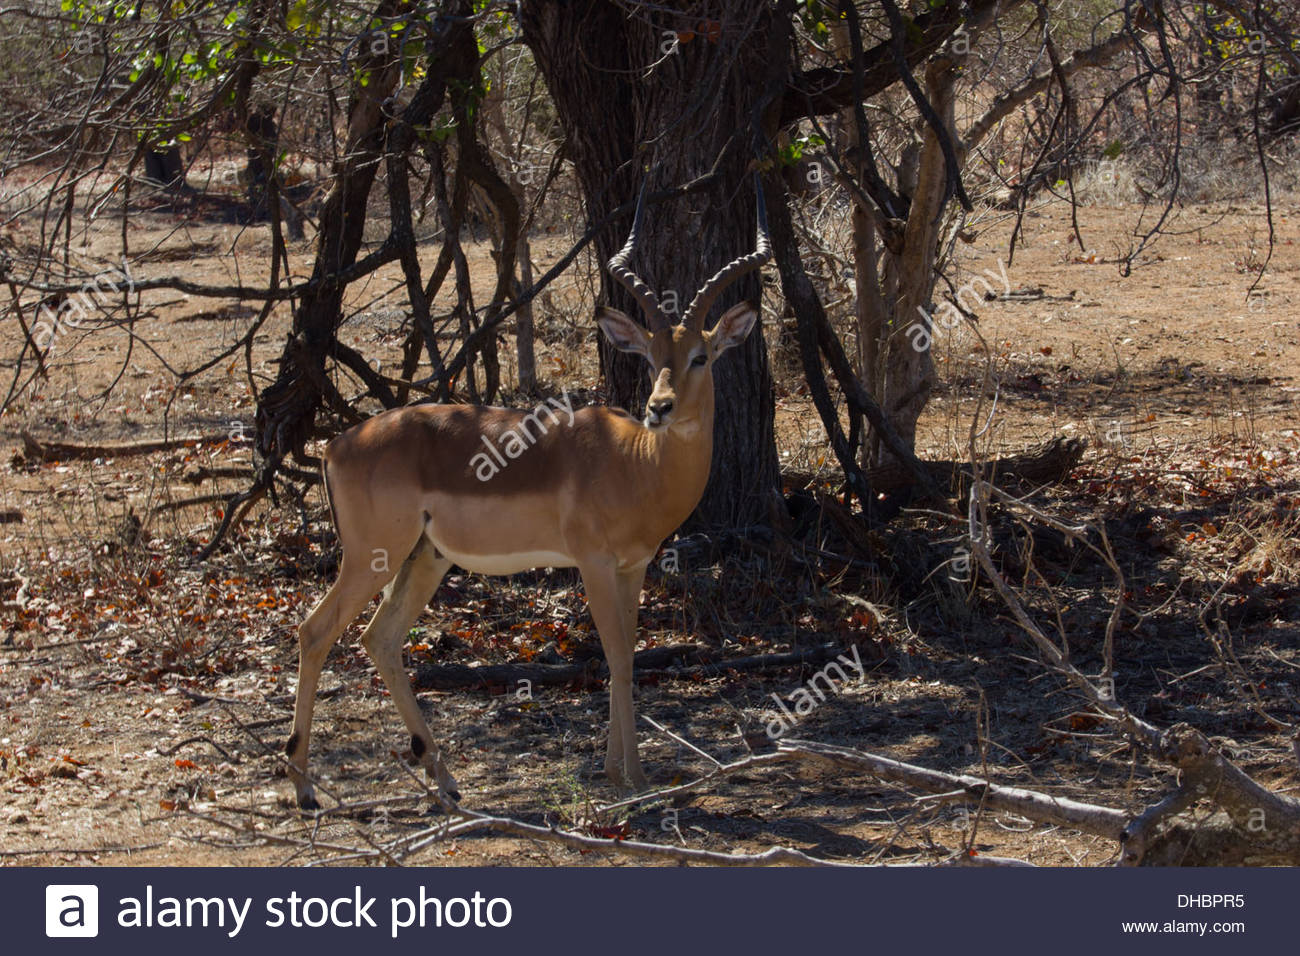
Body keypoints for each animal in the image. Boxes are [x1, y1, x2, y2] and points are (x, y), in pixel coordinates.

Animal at [286, 186, 771, 810]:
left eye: (700, 356)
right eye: (650, 354)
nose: (658, 408)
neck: (634, 461)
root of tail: (335, 445)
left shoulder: (634, 566)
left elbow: (629, 653)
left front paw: (616, 771)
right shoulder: (593, 562)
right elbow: (616, 655)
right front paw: (633, 780)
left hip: (425, 559)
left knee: (380, 639)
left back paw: (445, 781)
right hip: (374, 556)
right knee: (316, 631)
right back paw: (305, 787)